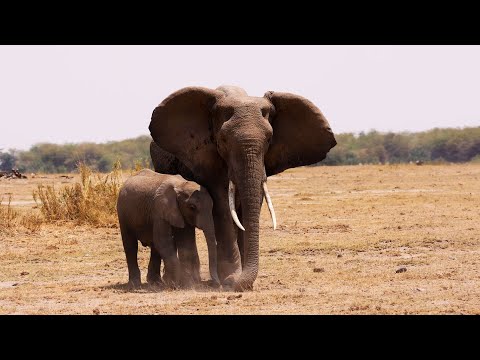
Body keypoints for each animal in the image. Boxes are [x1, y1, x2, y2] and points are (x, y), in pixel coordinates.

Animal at [148, 86, 336, 292]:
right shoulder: (209, 158)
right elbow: (222, 205)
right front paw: (230, 277)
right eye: (223, 140)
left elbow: (252, 203)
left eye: (269, 139)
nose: (232, 282)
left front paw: (239, 280)